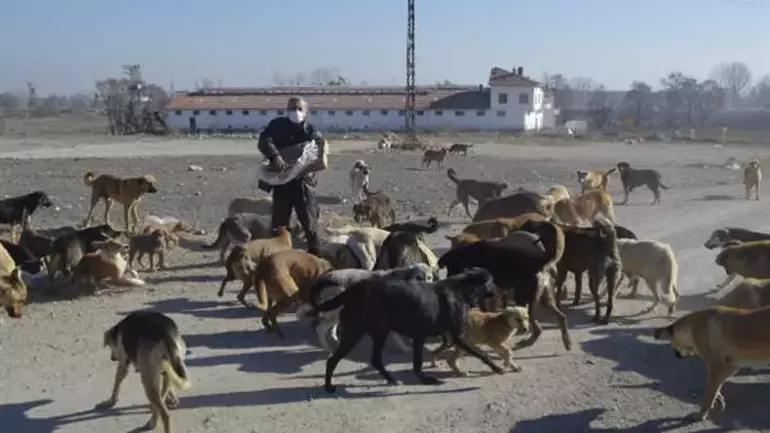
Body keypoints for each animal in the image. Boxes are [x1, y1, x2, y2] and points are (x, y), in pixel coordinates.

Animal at [296, 264, 436, 352]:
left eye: (429, 277)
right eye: (419, 277)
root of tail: (322, 279)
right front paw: (405, 347)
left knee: (330, 329)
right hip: (337, 310)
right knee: (320, 328)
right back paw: (328, 349)